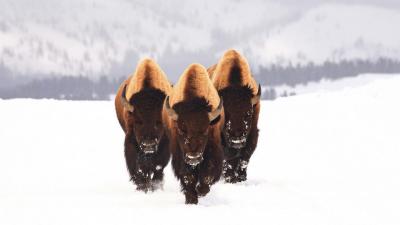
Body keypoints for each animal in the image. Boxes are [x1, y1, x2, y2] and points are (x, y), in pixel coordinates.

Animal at [115, 58, 172, 192]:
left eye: (159, 121)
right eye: (138, 121)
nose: (148, 145)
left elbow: (158, 167)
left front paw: (154, 186)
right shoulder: (130, 140)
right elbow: (136, 168)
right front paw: (143, 186)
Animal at [162, 63, 225, 204]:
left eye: (205, 130)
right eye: (181, 129)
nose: (193, 158)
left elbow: (207, 175)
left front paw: (200, 191)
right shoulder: (180, 155)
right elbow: (188, 177)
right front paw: (191, 199)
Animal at [209, 49, 262, 183]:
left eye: (249, 113)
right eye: (225, 114)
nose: (237, 138)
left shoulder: (253, 133)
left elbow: (244, 156)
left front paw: (241, 178)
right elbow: (230, 158)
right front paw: (230, 178)